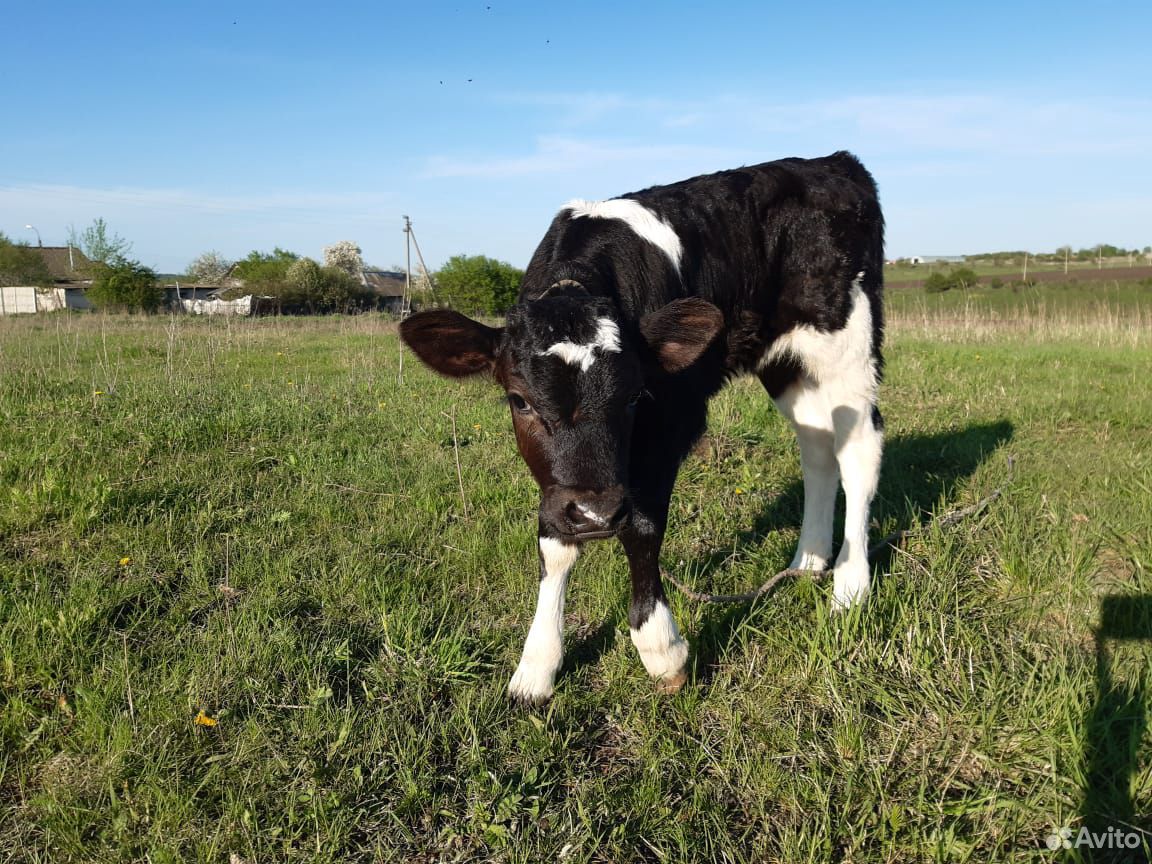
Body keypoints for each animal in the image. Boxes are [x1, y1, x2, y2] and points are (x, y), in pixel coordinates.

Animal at [400, 152, 884, 705]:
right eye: (518, 400)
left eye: (635, 396)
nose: (595, 513)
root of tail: (832, 162)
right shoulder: (563, 486)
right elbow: (554, 544)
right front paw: (536, 665)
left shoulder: (671, 421)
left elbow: (644, 527)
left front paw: (660, 647)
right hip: (786, 364)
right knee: (818, 451)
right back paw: (808, 559)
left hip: (848, 346)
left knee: (859, 451)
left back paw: (850, 584)